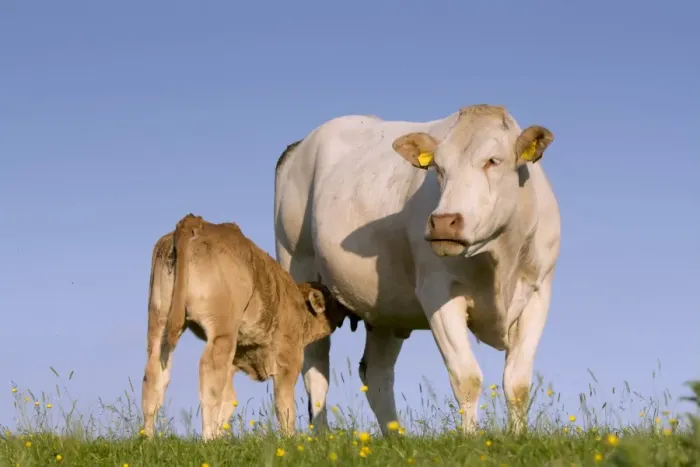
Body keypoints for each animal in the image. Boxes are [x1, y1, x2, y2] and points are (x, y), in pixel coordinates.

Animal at [141, 214, 354, 440]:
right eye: (333, 297)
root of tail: (195, 222)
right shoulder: (288, 361)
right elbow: (285, 405)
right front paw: (289, 439)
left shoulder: (236, 360)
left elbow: (229, 399)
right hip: (222, 331)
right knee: (209, 373)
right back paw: (207, 438)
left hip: (159, 322)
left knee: (154, 373)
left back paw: (149, 438)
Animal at [274, 104, 561, 435]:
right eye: (438, 168)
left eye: (493, 160)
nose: (443, 221)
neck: (499, 258)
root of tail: (299, 147)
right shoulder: (438, 292)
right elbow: (466, 377)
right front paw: (472, 439)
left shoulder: (538, 292)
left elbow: (518, 383)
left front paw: (517, 437)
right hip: (300, 272)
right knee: (314, 370)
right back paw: (316, 438)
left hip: (385, 307)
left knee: (376, 374)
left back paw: (395, 438)